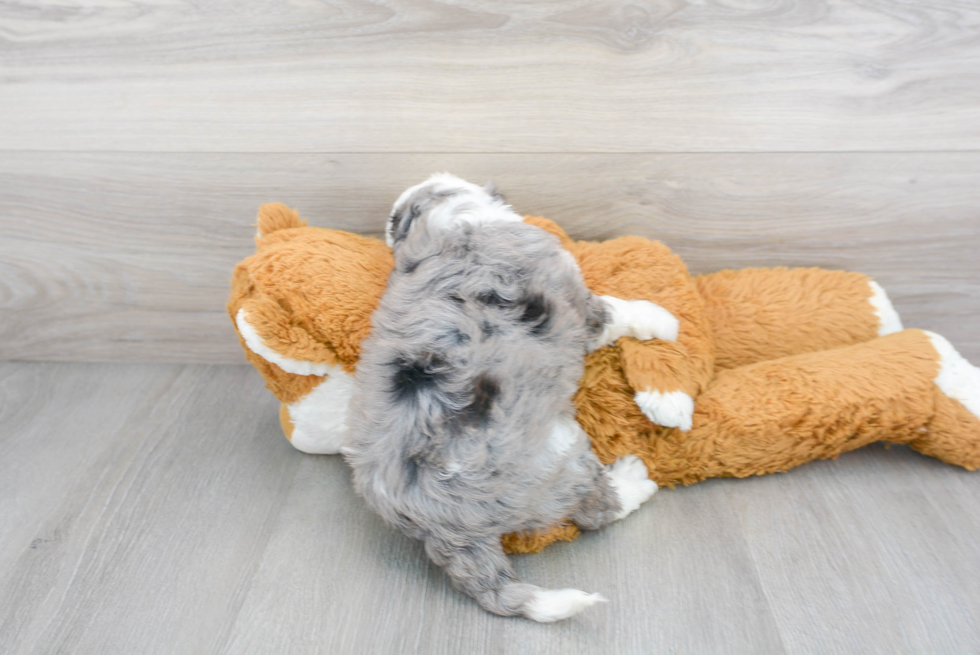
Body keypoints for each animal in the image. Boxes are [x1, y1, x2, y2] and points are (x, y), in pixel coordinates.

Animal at [340, 174, 668, 624]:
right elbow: (618, 311)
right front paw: (664, 320)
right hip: (560, 459)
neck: (452, 226)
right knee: (595, 508)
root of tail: (435, 521)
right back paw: (633, 480)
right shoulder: (579, 301)